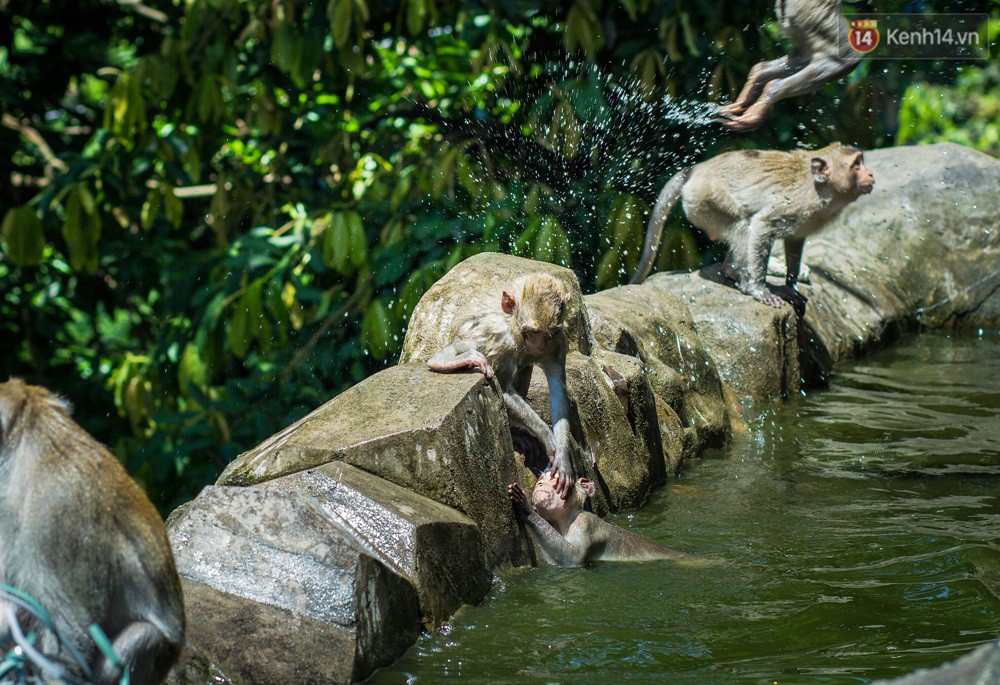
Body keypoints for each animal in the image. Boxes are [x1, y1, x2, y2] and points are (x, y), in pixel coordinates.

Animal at [426, 272, 576, 496]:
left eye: (548, 333)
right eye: (533, 332)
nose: (539, 346)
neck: (512, 325)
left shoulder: (557, 342)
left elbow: (559, 393)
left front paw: (563, 459)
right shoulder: (502, 340)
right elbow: (502, 388)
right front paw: (548, 437)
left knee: (524, 367)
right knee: (471, 345)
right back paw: (442, 360)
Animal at [504, 470, 692, 568]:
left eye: (554, 478)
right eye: (541, 479)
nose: (540, 484)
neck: (563, 521)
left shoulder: (585, 523)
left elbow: (574, 557)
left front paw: (527, 510)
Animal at [632, 143, 876, 306]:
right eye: (856, 165)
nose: (871, 174)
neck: (821, 189)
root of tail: (696, 169)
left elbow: (794, 242)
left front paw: (790, 286)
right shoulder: (794, 205)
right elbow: (761, 225)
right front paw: (760, 290)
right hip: (705, 200)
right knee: (742, 225)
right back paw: (736, 273)